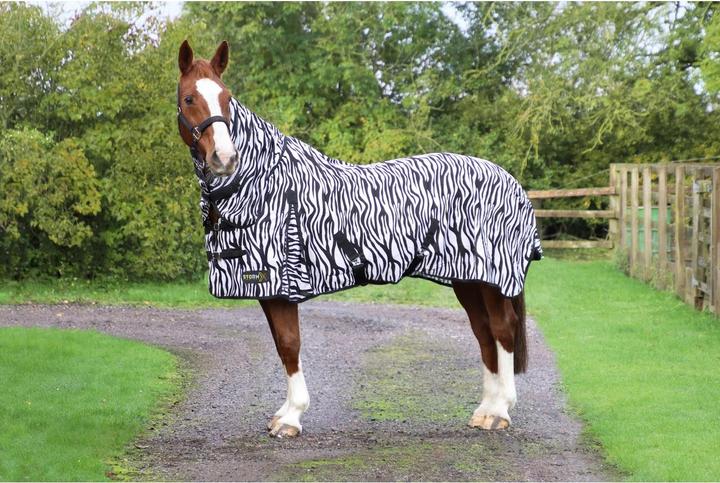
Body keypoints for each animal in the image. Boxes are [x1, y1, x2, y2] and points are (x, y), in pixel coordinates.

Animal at [176, 40, 542, 438]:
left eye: (227, 98)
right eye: (189, 98)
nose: (224, 158)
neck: (264, 181)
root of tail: (512, 183)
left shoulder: (284, 284)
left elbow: (290, 344)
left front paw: (292, 418)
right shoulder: (268, 289)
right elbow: (281, 346)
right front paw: (283, 413)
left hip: (493, 279)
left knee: (503, 330)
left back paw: (501, 411)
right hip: (469, 279)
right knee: (484, 332)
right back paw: (485, 410)